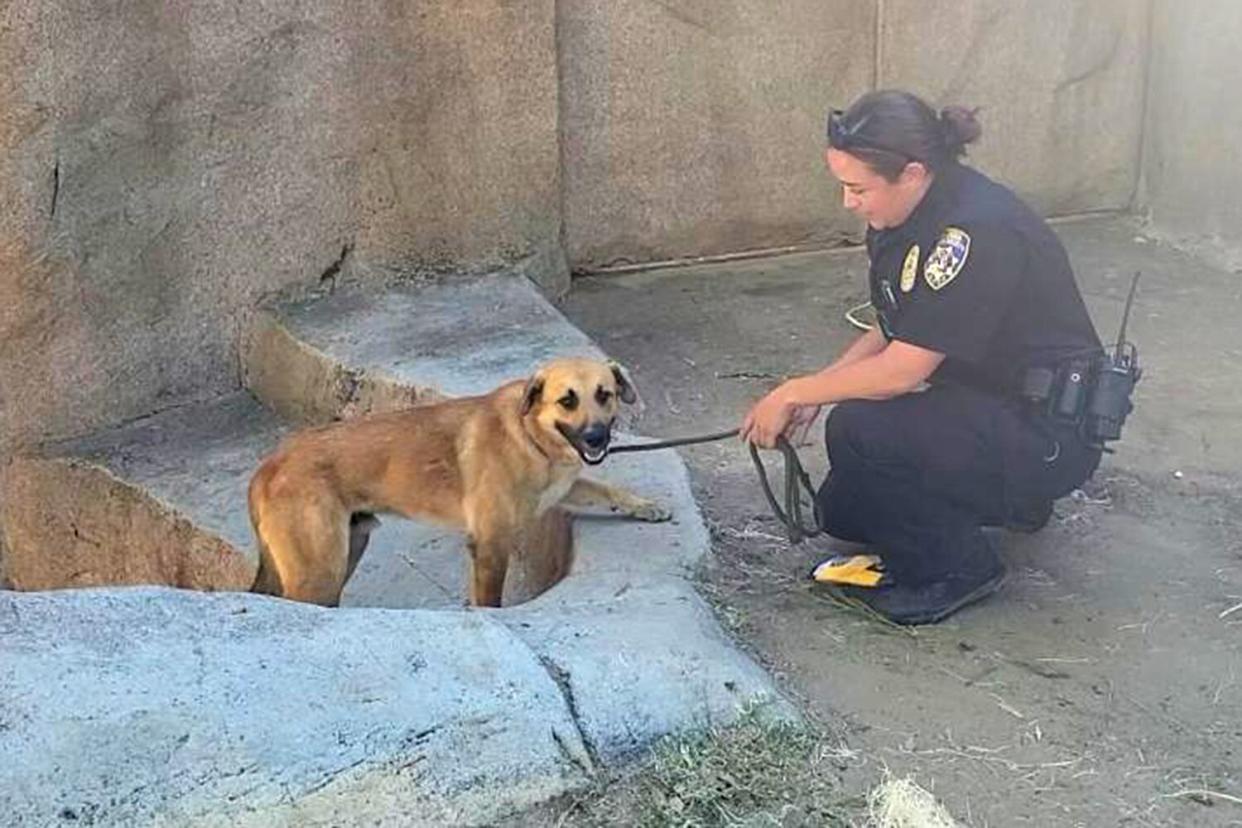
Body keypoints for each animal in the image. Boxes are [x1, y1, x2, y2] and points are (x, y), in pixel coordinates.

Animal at [249, 357, 670, 608]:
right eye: (568, 401)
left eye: (605, 395)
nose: (597, 439)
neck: (530, 435)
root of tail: (269, 465)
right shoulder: (490, 545)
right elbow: (489, 602)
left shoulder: (563, 486)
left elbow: (606, 490)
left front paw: (645, 506)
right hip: (318, 573)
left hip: (348, 549)